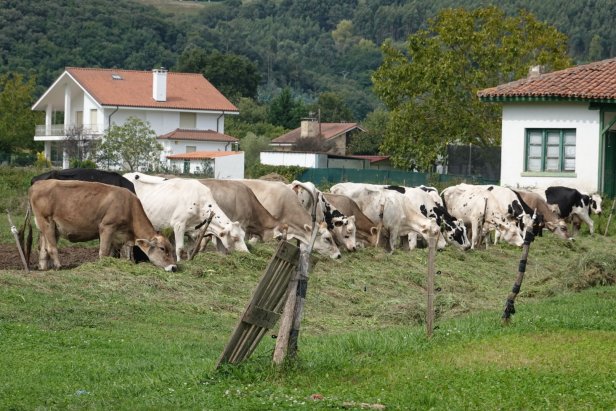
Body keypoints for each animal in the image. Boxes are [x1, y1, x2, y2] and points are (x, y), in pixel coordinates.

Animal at [27, 179, 177, 271]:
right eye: (163, 249)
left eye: (171, 248)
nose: (174, 267)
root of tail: (38, 183)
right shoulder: (107, 227)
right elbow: (103, 252)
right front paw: (102, 265)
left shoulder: (121, 237)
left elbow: (120, 254)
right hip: (47, 222)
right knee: (51, 247)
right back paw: (58, 266)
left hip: (46, 226)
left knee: (43, 248)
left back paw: (43, 267)